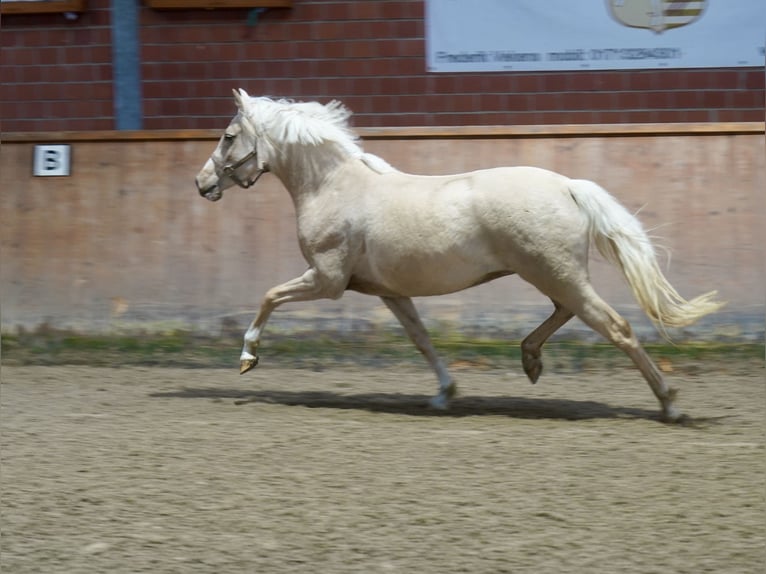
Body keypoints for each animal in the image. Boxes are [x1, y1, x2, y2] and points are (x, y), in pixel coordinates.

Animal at [195, 89, 724, 422]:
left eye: (227, 136)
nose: (202, 184)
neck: (333, 187)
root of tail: (568, 186)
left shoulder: (326, 280)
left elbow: (268, 295)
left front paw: (247, 357)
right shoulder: (389, 292)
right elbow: (422, 340)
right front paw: (444, 395)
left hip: (556, 274)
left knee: (615, 327)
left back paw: (670, 404)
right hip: (556, 275)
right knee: (568, 313)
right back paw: (531, 361)